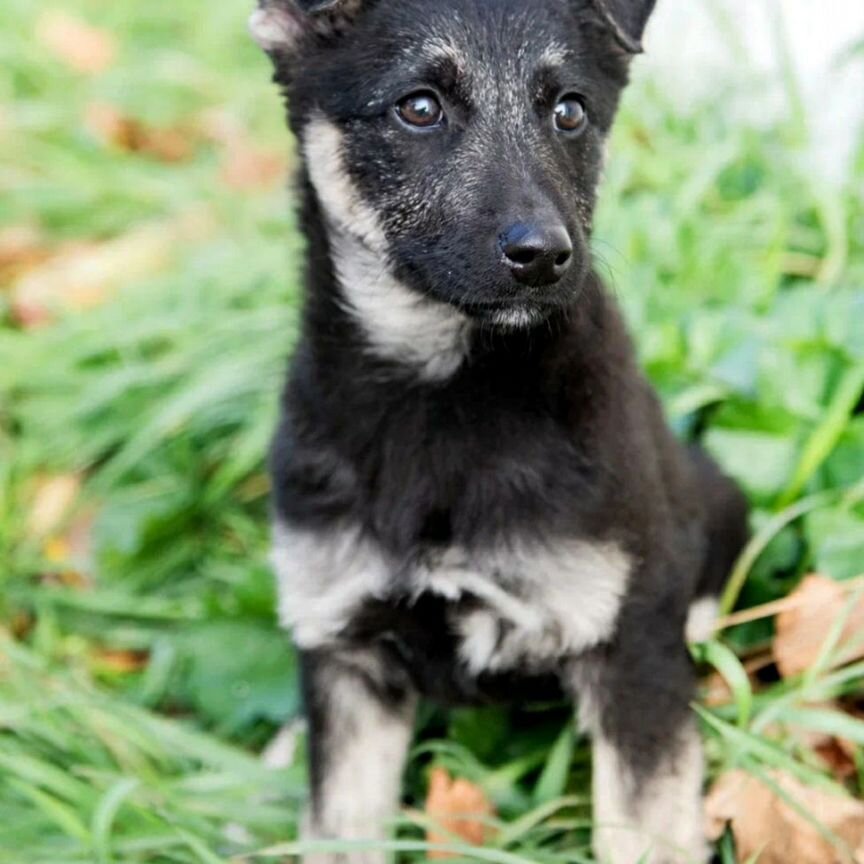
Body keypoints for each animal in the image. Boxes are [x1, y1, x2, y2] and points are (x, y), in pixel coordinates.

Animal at [251, 3, 748, 860]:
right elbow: (338, 824)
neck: (442, 398)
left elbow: (646, 824)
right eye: (419, 107)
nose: (544, 256)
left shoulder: (630, 646)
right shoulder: (347, 657)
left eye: (570, 111)